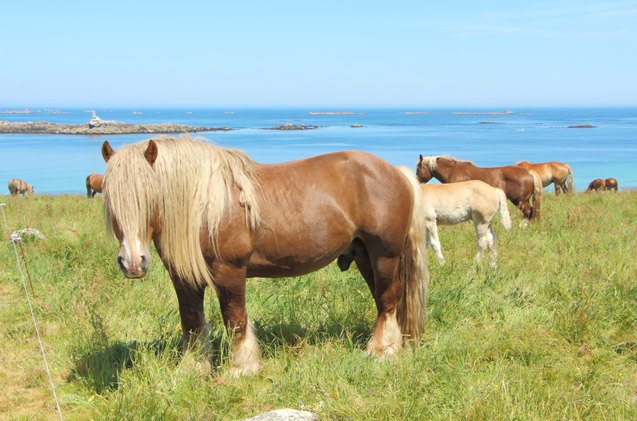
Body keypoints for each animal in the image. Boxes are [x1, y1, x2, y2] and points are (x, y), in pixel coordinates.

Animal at [100, 137, 428, 374]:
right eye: (111, 201)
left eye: (149, 196)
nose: (132, 263)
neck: (207, 206)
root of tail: (395, 172)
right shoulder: (185, 279)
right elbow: (191, 321)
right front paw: (193, 367)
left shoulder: (229, 272)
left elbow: (235, 319)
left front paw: (242, 368)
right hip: (363, 255)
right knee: (385, 301)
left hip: (384, 255)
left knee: (388, 300)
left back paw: (381, 351)